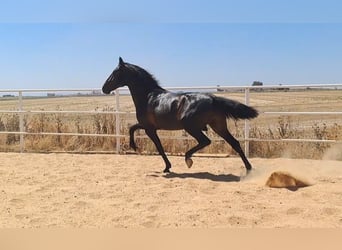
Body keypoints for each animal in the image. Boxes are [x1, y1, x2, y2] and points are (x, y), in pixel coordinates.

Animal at [103, 57, 258, 173]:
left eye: (115, 72)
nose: (104, 88)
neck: (148, 96)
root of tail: (213, 99)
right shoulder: (148, 126)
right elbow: (132, 128)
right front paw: (134, 147)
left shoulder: (149, 129)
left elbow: (158, 146)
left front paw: (166, 167)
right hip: (218, 126)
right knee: (235, 143)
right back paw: (249, 169)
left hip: (191, 126)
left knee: (206, 141)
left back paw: (188, 159)